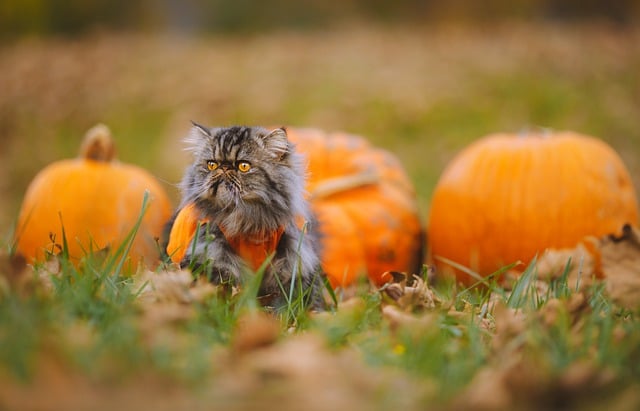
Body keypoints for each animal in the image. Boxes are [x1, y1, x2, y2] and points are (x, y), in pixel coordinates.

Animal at [171, 124, 324, 310]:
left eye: (243, 166)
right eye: (212, 165)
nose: (224, 168)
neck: (247, 221)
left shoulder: (294, 264)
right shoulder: (211, 258)